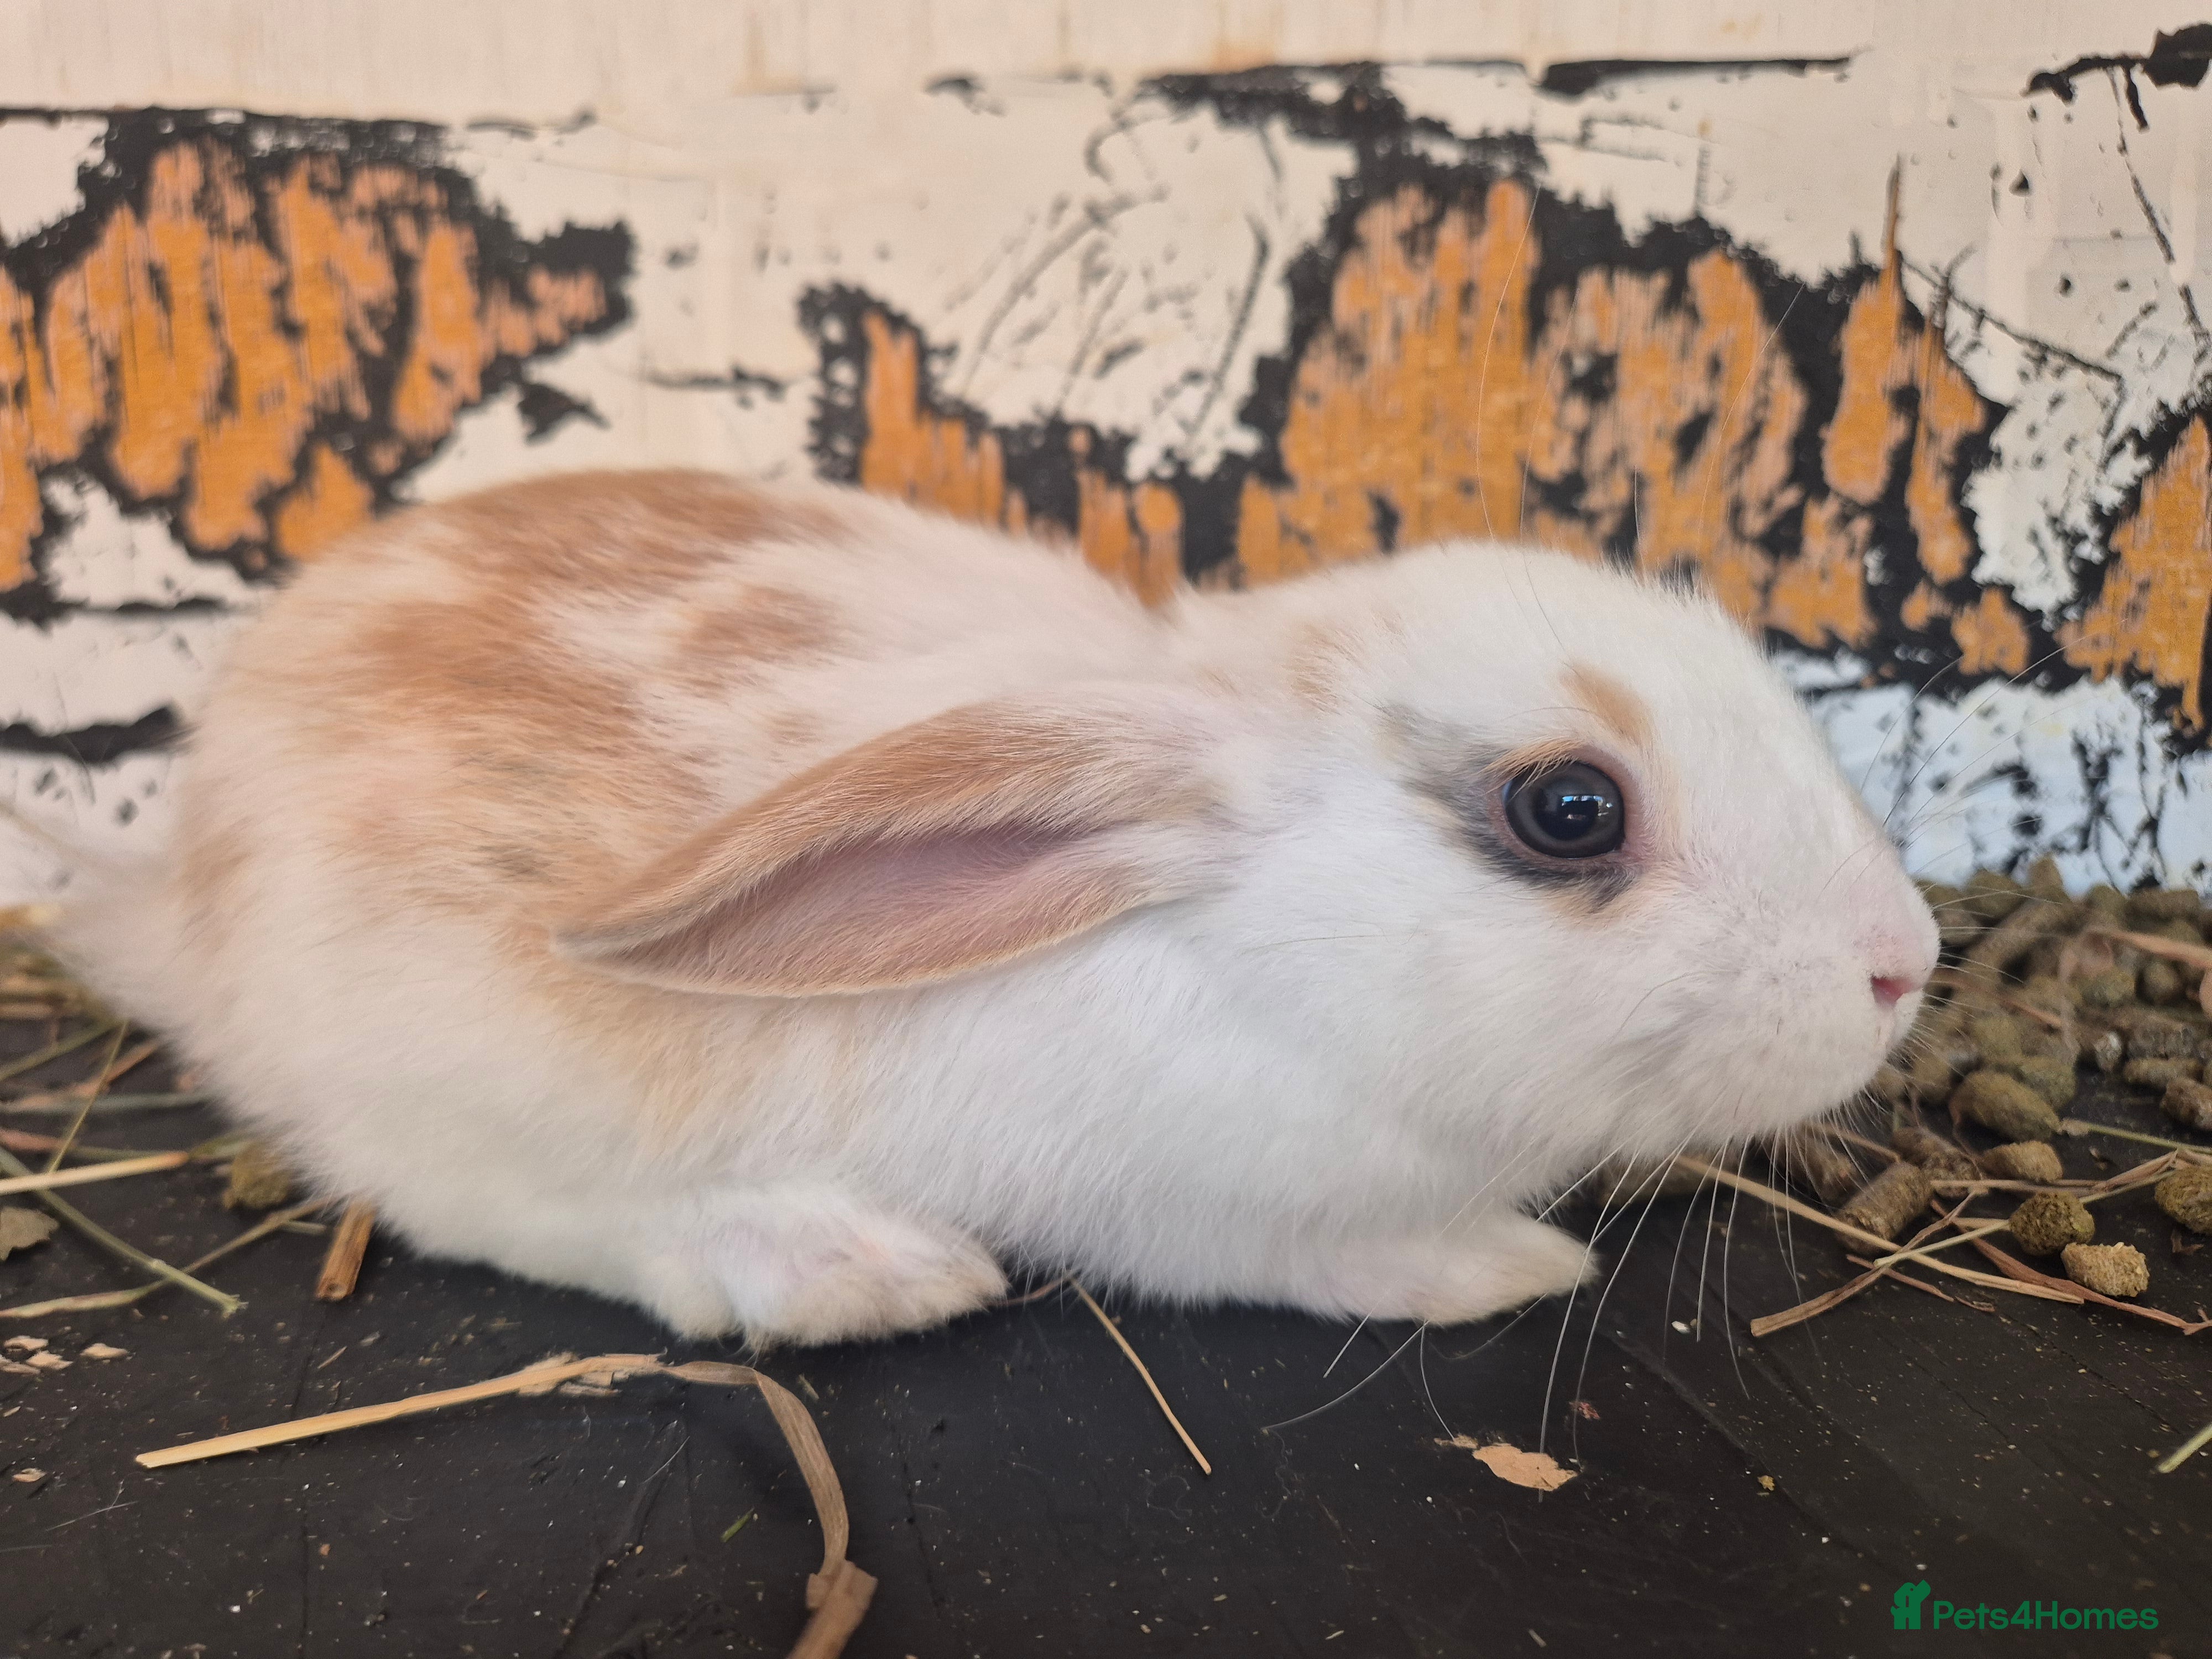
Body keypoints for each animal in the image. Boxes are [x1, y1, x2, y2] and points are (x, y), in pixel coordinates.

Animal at [35, 469, 1938, 1344]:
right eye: (1569, 811)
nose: (1903, 961)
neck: (1253, 960)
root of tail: (185, 874)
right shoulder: (1218, 1211)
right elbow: (1350, 1254)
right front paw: (1504, 1267)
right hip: (461, 1104)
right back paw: (849, 1268)